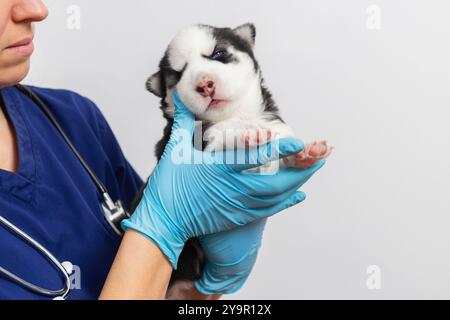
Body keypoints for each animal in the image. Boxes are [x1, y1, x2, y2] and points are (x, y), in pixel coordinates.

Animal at [132, 23, 332, 298]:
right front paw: (247, 134)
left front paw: (306, 153)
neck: (235, 114)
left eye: (218, 54)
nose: (205, 84)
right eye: (179, 74)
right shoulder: (198, 143)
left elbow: (283, 144)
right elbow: (222, 135)